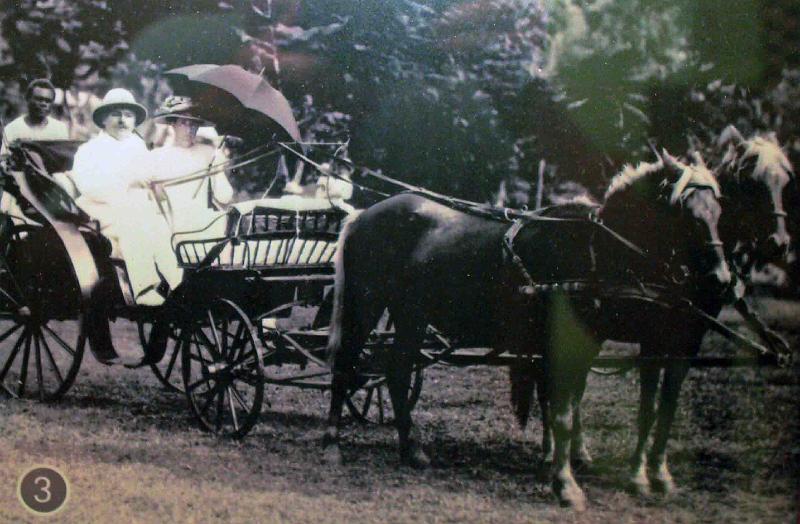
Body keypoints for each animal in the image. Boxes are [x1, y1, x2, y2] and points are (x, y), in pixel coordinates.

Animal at [322, 150, 728, 508]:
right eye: (687, 213)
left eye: (718, 211)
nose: (721, 280)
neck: (591, 250)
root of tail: (362, 215)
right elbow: (562, 411)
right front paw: (565, 485)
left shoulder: (587, 344)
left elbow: (569, 407)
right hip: (365, 304)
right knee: (344, 365)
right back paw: (332, 445)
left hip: (411, 315)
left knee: (397, 370)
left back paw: (412, 450)